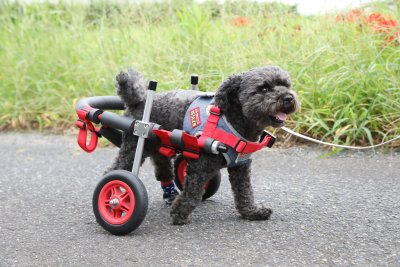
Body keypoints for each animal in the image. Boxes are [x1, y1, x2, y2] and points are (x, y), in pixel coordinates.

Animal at [108, 66, 298, 225]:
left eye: (286, 85)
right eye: (264, 88)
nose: (288, 97)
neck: (233, 120)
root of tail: (138, 101)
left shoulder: (240, 165)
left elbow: (244, 192)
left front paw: (252, 212)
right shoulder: (201, 165)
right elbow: (193, 193)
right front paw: (179, 214)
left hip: (159, 145)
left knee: (163, 169)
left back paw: (169, 195)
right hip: (134, 146)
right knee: (115, 171)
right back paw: (114, 199)